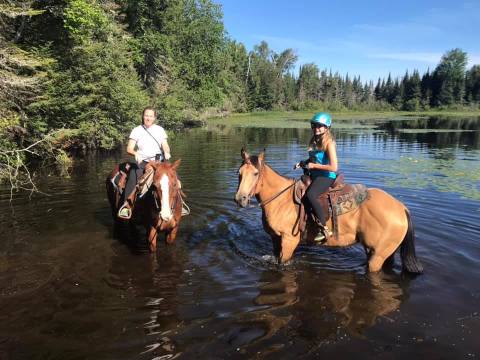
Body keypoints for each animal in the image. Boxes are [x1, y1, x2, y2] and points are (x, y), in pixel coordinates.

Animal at [234, 149, 422, 272]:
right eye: (239, 172)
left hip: (378, 256)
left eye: (256, 173)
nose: (240, 199)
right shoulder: (275, 238)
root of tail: (401, 207)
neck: (282, 199)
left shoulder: (289, 241)